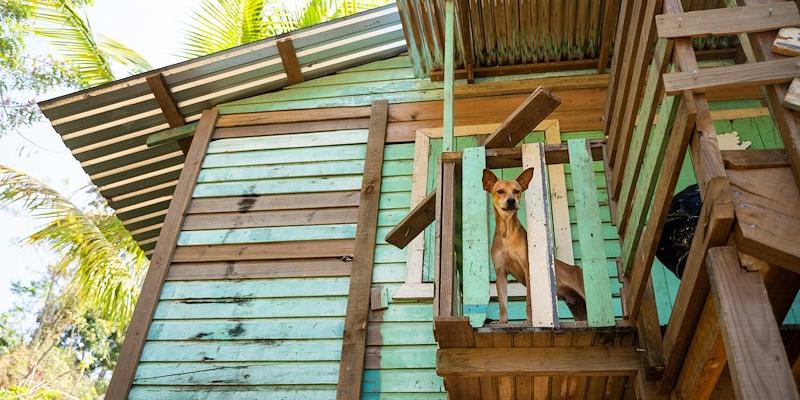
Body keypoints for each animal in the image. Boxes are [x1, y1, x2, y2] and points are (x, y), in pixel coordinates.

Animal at [482, 167, 588, 324]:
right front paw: (502, 322)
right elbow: (502, 304)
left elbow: (529, 303)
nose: (511, 200)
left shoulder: (528, 270)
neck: (507, 233)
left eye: (517, 191)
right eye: (500, 191)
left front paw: (529, 322)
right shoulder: (500, 273)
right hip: (577, 307)